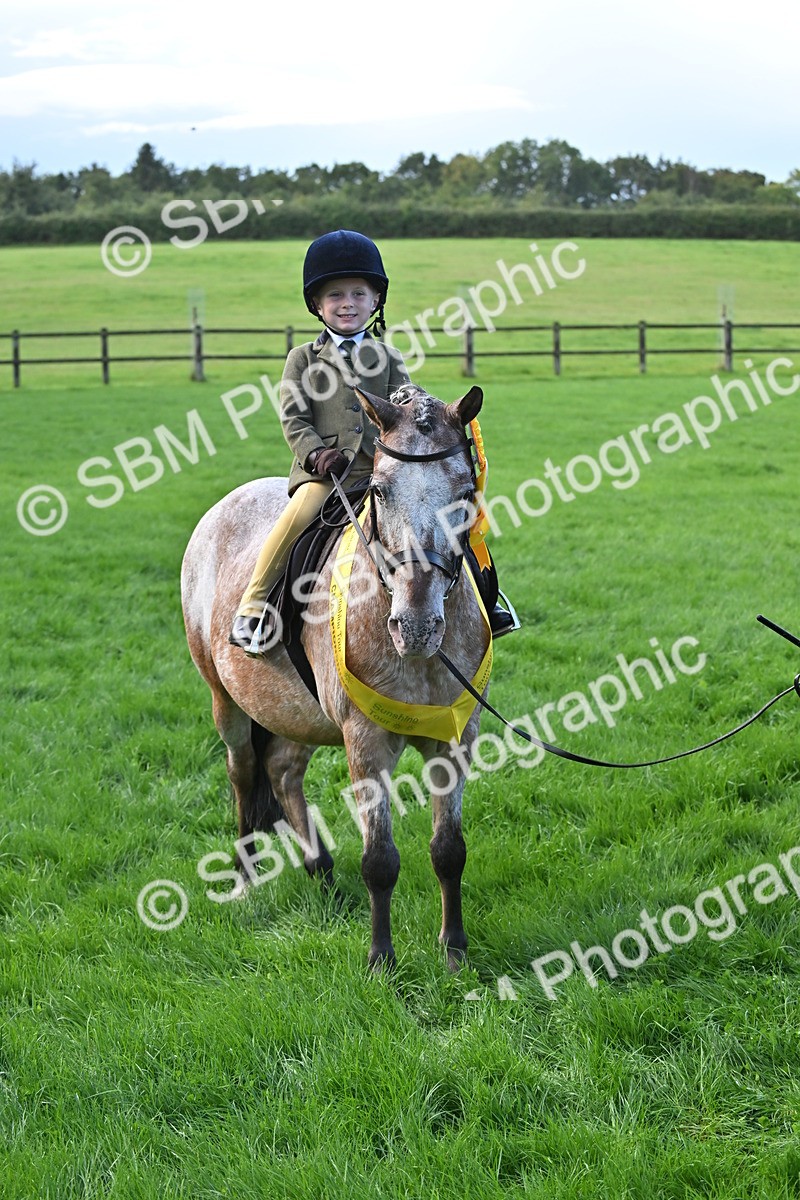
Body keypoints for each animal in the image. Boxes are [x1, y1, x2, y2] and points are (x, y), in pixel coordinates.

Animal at [180, 382, 491, 969]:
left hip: (292, 710)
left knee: (282, 771)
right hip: (225, 702)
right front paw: (381, 959)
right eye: (380, 491)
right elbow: (380, 860)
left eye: (465, 490)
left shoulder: (453, 738)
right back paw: (246, 877)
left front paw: (455, 949)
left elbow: (450, 851)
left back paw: (320, 871)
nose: (416, 626)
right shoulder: (364, 741)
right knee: (244, 773)